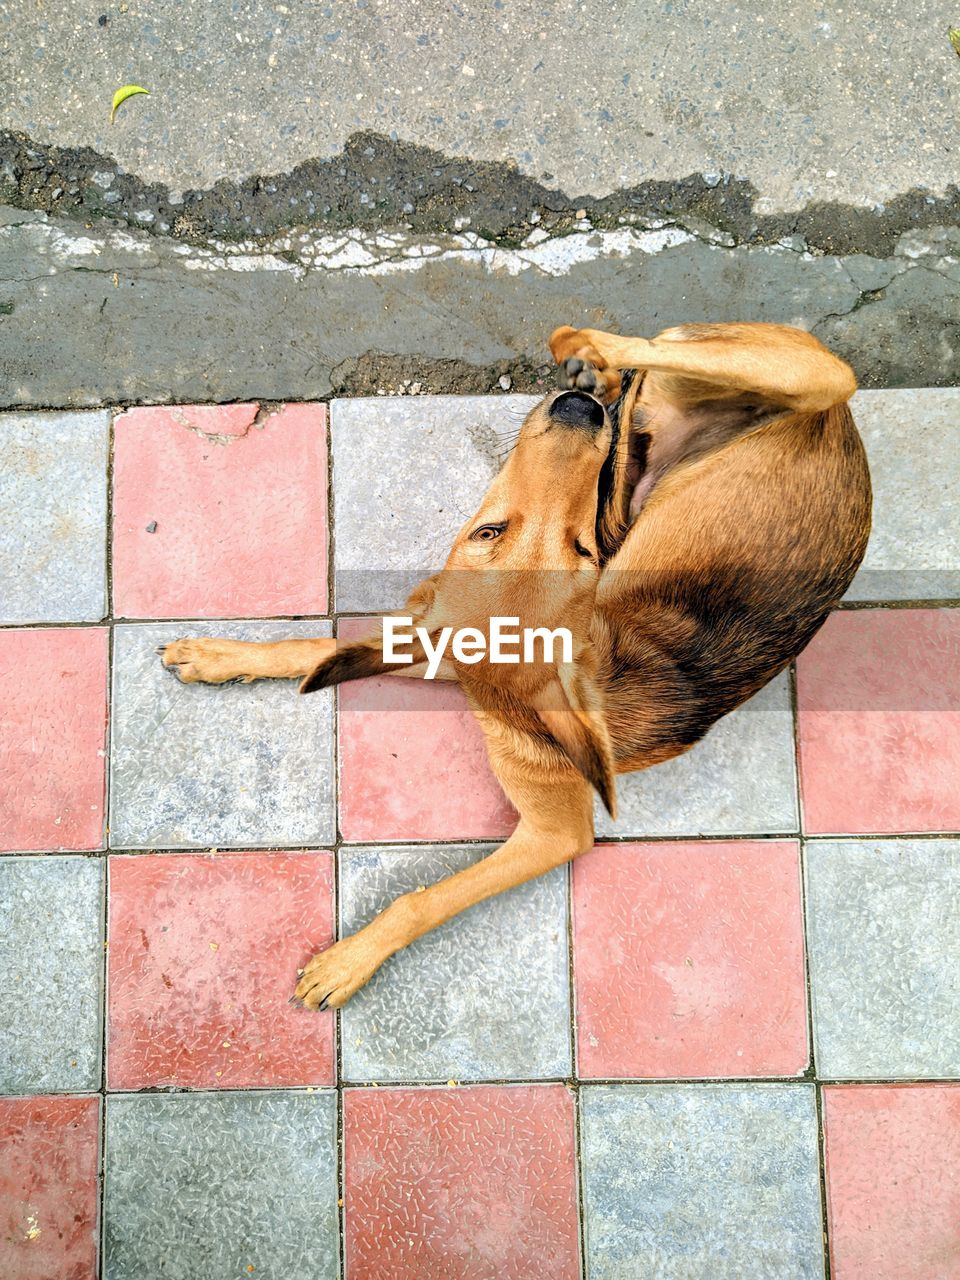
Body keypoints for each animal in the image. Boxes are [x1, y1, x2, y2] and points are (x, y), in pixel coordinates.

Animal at [163, 325, 870, 1013]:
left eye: (582, 551)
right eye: (490, 532)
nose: (578, 413)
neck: (505, 704)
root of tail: (845, 432)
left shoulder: (556, 835)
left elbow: (423, 901)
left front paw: (350, 960)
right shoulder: (434, 647)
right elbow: (312, 649)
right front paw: (220, 656)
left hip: (812, 374)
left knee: (684, 349)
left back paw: (590, 355)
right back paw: (597, 373)